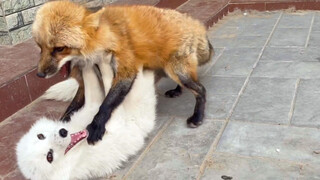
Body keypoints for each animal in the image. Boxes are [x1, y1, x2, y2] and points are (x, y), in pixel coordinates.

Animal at [16, 63, 156, 180]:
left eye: (40, 136)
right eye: (49, 157)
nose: (63, 132)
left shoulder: (92, 104)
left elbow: (91, 81)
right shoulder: (116, 122)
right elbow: (107, 79)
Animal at [32, 0, 214, 144]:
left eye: (59, 49)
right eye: (40, 47)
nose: (39, 75)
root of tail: (194, 23)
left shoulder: (125, 71)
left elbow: (106, 104)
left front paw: (96, 126)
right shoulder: (84, 83)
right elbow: (71, 108)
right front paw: (59, 126)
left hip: (177, 71)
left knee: (201, 90)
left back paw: (197, 117)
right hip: (170, 70)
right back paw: (177, 91)